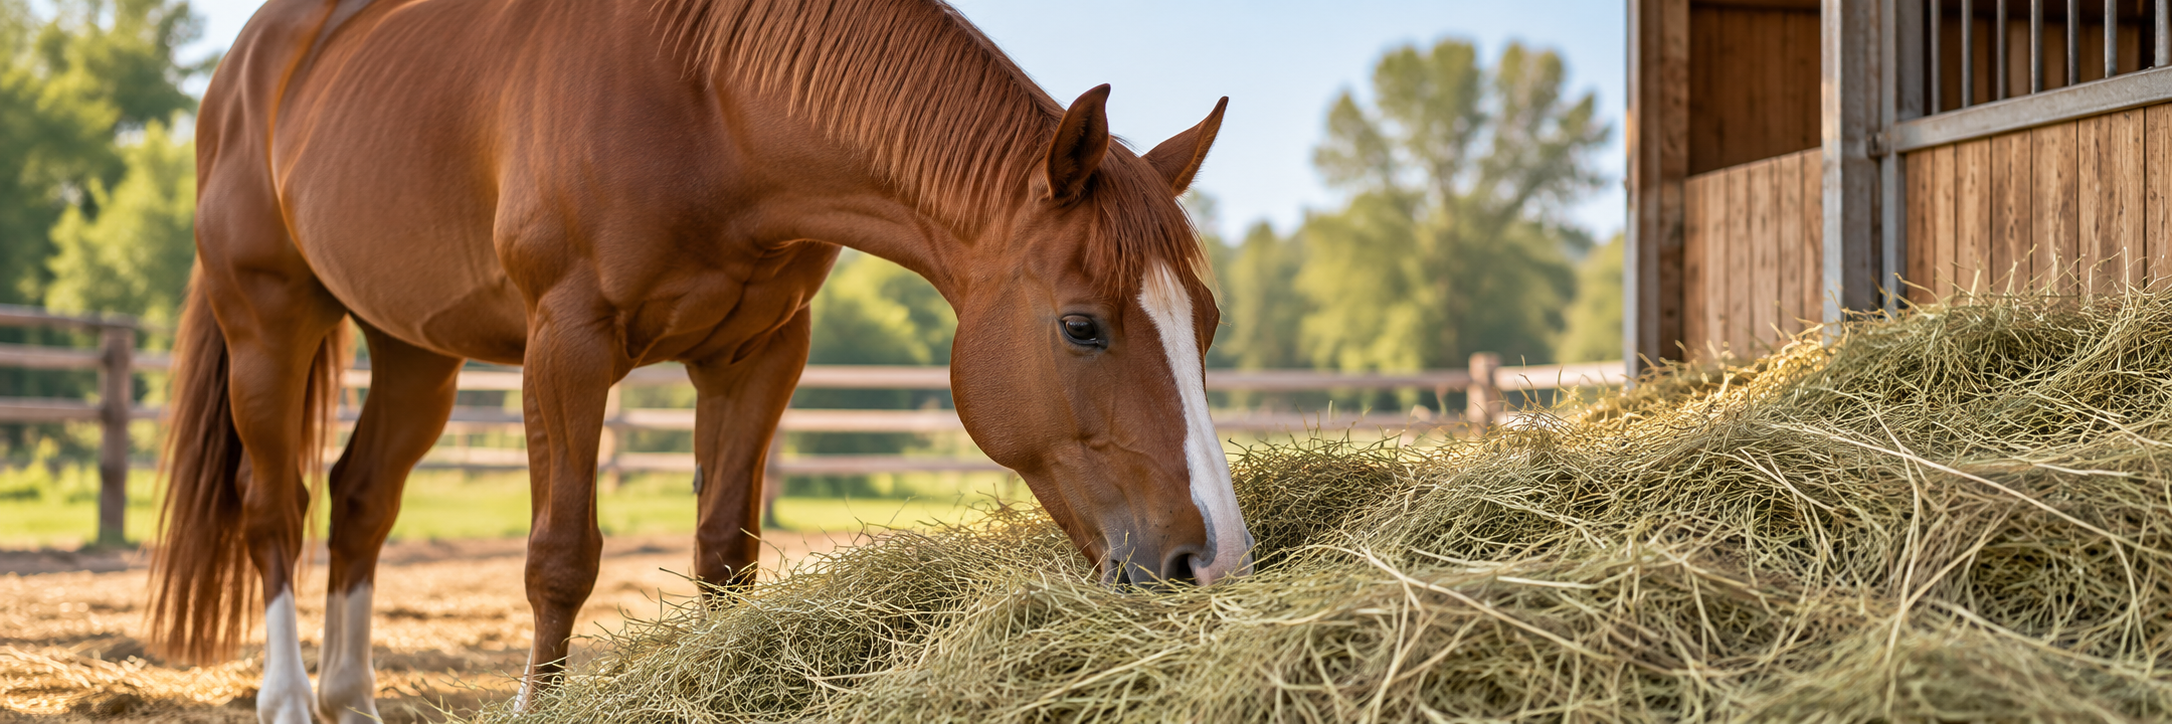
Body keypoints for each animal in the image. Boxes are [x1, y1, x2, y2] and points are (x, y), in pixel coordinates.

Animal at [146, 0, 1252, 720]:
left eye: (1205, 321)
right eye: (1081, 326)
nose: (1213, 560)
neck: (707, 98)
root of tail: (255, 61)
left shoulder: (757, 353)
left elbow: (727, 552)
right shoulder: (568, 343)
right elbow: (560, 558)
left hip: (414, 352)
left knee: (361, 496)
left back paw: (349, 696)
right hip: (268, 318)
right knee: (275, 507)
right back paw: (288, 697)